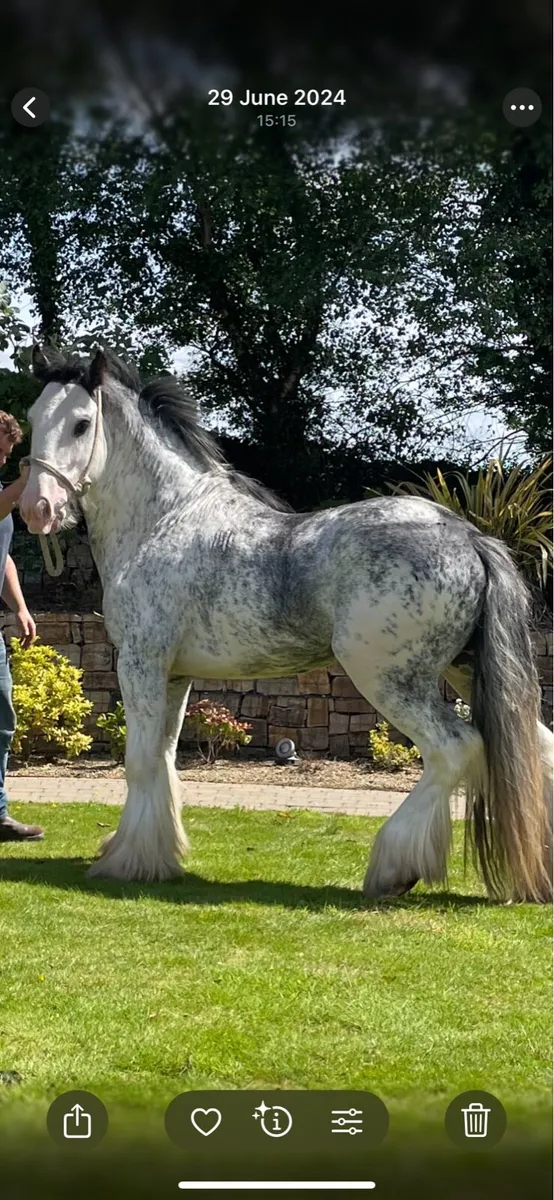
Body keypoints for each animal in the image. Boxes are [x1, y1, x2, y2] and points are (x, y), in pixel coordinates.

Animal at [19, 345, 553, 902]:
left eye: (81, 424)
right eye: (33, 417)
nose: (37, 509)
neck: (164, 520)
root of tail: (468, 536)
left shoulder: (141, 663)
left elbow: (140, 761)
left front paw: (127, 861)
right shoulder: (175, 675)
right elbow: (164, 758)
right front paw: (158, 854)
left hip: (391, 680)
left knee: (454, 750)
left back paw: (393, 867)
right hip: (465, 670)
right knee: (540, 748)